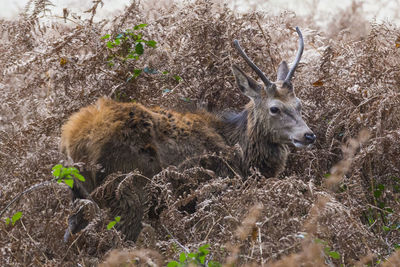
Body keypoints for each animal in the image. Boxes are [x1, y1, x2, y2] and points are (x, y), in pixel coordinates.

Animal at [61, 27, 316, 243]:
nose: (308, 135)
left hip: (79, 195)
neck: (242, 156)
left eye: (299, 104)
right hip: (125, 190)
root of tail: (73, 140)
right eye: (274, 108)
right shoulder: (211, 192)